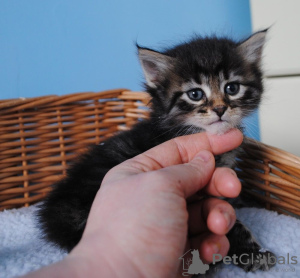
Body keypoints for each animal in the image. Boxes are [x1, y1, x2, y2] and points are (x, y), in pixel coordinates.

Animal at [37, 29, 274, 272]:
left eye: (232, 88)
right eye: (195, 94)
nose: (219, 109)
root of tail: (55, 207)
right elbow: (232, 224)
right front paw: (253, 253)